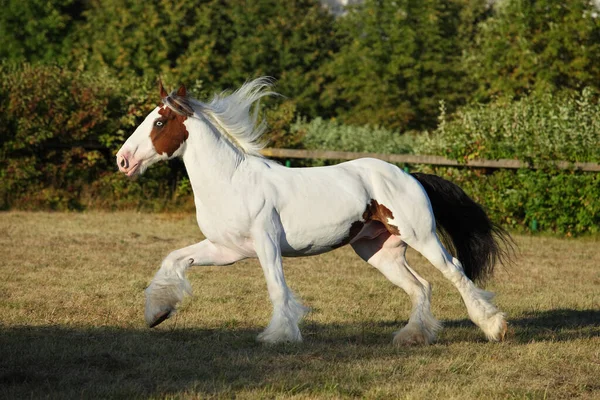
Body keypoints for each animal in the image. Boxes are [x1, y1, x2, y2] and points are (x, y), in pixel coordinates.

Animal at [116, 77, 510, 344]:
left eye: (159, 122)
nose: (123, 161)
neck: (231, 180)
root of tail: (408, 175)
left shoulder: (265, 244)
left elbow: (277, 288)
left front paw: (279, 336)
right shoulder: (226, 249)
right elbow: (173, 259)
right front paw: (157, 313)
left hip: (421, 236)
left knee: (454, 272)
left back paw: (495, 327)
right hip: (379, 252)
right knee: (420, 287)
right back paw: (412, 336)